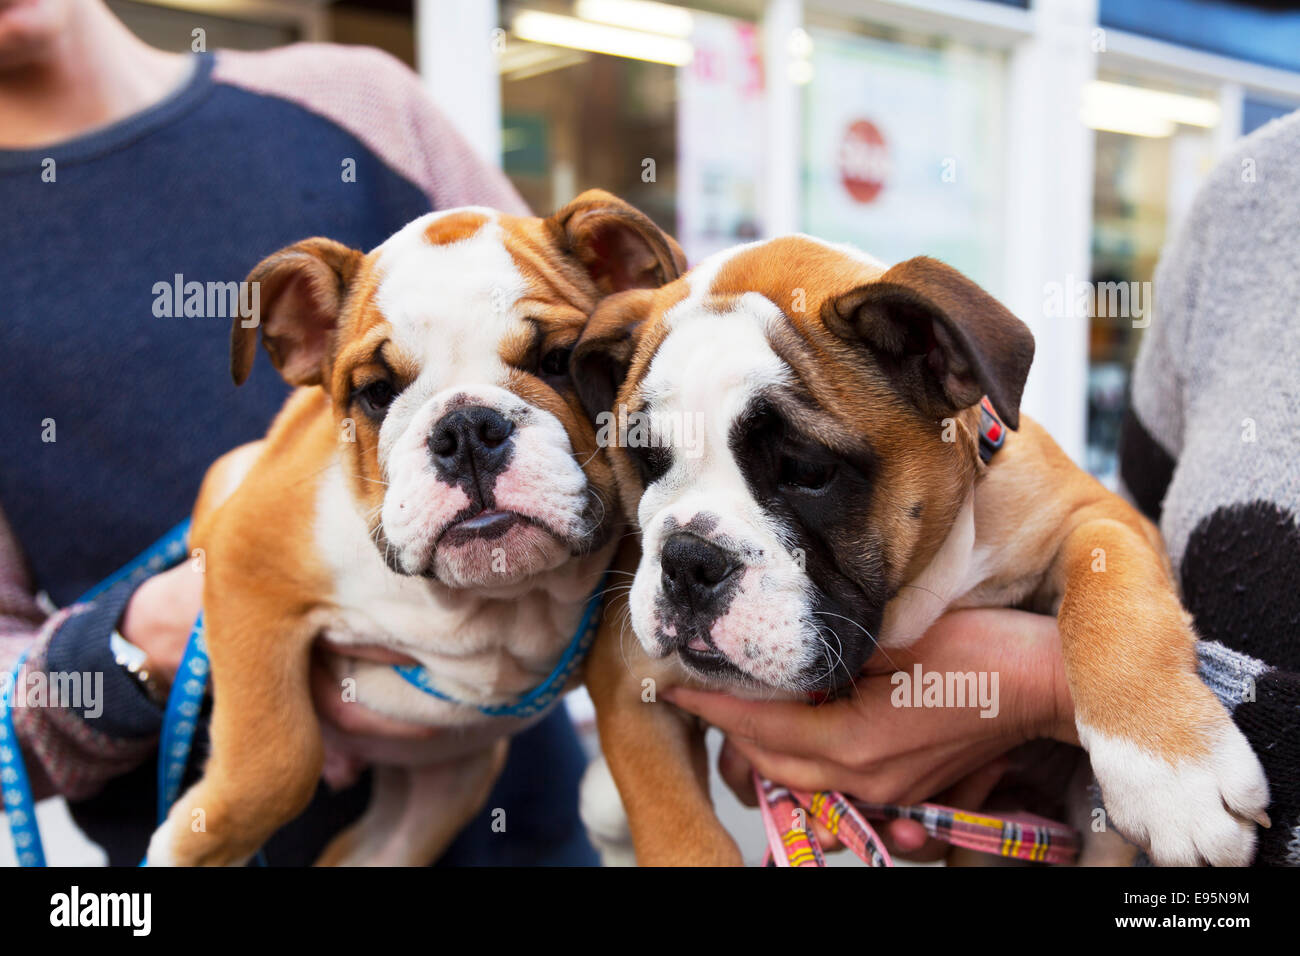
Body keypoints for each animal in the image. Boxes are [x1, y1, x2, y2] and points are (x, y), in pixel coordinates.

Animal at [147, 188, 686, 868]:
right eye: (377, 393)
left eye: (558, 361)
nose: (466, 429)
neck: (487, 601)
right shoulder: (244, 562)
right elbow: (276, 760)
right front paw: (189, 841)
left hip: (439, 794)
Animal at [577, 238, 1268, 868]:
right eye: (646, 459)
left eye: (807, 470)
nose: (689, 559)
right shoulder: (627, 681)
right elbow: (678, 828)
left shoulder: (1100, 518)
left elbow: (1115, 605)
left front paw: (1171, 774)